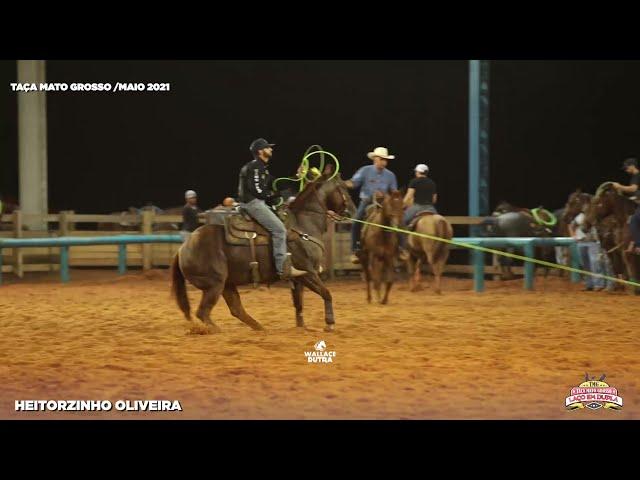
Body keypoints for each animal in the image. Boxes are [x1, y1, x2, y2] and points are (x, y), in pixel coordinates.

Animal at [170, 172, 356, 334]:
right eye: (343, 187)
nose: (352, 211)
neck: (303, 226)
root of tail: (183, 248)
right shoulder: (308, 273)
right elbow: (326, 293)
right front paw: (330, 324)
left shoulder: (298, 278)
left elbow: (299, 303)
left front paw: (301, 327)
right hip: (214, 284)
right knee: (203, 312)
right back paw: (216, 330)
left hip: (227, 284)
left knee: (236, 309)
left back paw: (259, 327)